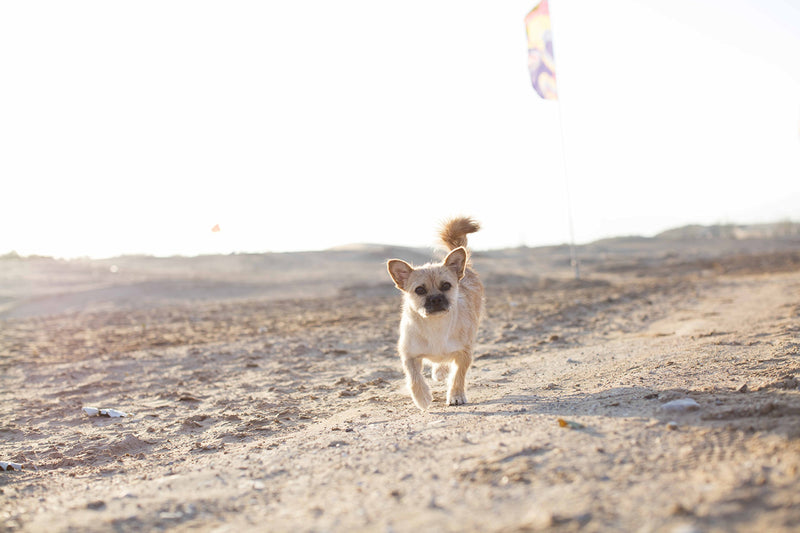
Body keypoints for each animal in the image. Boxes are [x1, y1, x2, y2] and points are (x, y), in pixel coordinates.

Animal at [386, 218, 482, 410]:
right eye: (420, 290)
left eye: (446, 285)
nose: (436, 299)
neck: (435, 326)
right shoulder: (409, 355)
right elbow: (414, 377)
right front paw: (422, 397)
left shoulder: (464, 353)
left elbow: (458, 376)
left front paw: (456, 395)